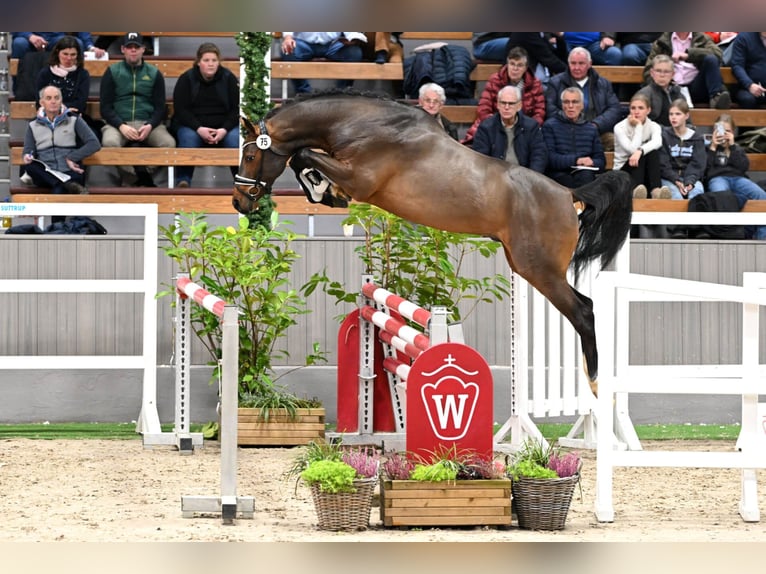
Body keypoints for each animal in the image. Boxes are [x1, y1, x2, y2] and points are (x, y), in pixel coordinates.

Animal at [236, 91, 636, 396]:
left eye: (251, 155)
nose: (239, 202)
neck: (362, 125)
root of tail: (568, 194)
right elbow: (303, 157)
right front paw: (323, 191)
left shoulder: (359, 178)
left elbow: (303, 155)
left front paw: (323, 190)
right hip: (526, 265)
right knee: (583, 306)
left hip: (539, 268)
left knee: (583, 310)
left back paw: (596, 381)